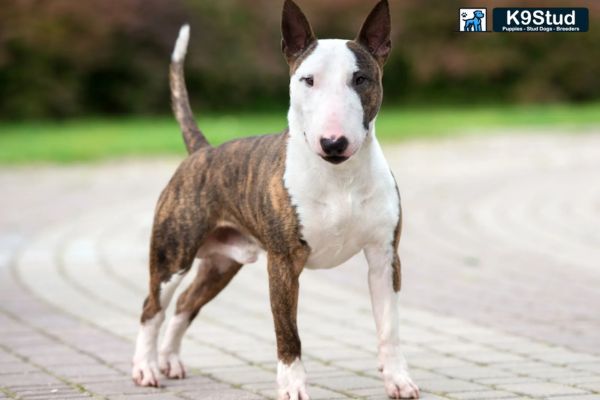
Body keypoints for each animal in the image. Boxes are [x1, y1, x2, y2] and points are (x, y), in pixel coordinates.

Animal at [133, 1, 420, 398]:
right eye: (308, 80)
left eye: (361, 79)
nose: (334, 143)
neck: (339, 178)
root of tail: (202, 151)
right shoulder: (283, 264)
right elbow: (288, 333)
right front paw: (293, 386)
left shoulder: (384, 257)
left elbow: (388, 328)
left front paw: (398, 380)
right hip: (172, 255)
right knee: (153, 307)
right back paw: (145, 368)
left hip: (221, 264)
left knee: (186, 303)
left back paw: (170, 361)